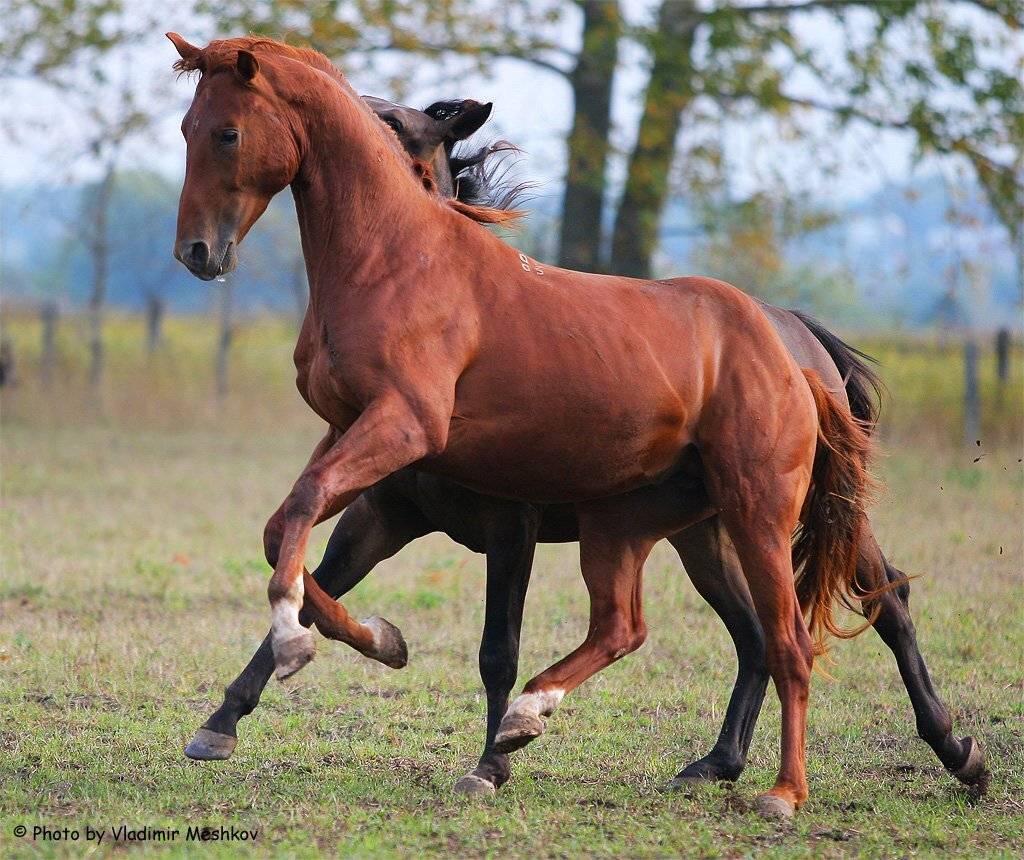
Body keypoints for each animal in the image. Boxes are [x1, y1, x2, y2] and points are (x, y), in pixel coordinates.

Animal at [166, 33, 970, 817]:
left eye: (229, 132)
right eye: (185, 129)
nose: (198, 252)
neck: (397, 261)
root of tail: (791, 347)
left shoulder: (434, 455)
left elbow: (489, 644)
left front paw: (481, 759)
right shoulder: (362, 462)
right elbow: (289, 538)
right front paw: (353, 656)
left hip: (765, 512)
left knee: (835, 622)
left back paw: (841, 779)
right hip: (662, 527)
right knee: (686, 631)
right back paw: (702, 759)